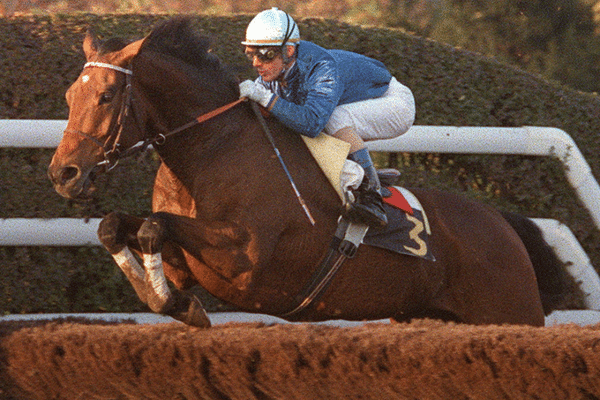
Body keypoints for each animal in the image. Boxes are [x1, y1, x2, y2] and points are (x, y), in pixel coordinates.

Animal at [48, 17, 564, 326]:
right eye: (71, 94)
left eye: (106, 96)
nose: (64, 173)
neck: (212, 148)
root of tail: (504, 224)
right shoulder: (188, 259)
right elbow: (119, 227)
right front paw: (171, 302)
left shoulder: (248, 259)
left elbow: (155, 226)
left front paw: (179, 306)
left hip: (511, 313)